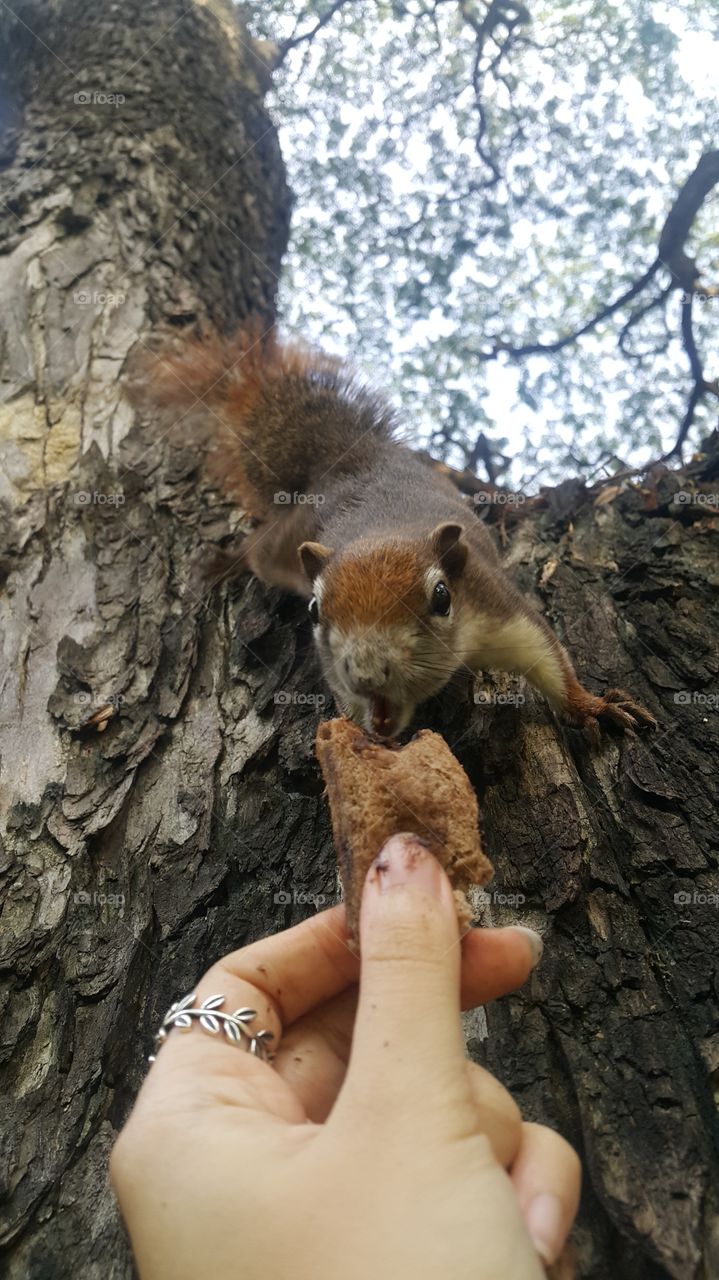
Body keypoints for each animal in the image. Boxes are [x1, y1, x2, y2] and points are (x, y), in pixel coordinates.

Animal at [138, 326, 657, 742]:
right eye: (314, 610)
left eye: (442, 597)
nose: (367, 673)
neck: (385, 533)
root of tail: (352, 458)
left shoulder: (500, 607)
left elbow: (550, 659)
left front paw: (595, 707)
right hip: (285, 543)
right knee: (257, 552)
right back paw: (222, 563)